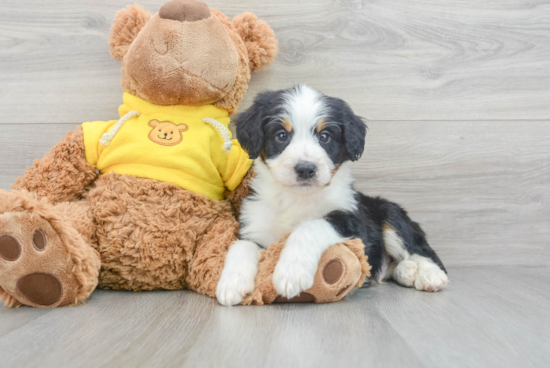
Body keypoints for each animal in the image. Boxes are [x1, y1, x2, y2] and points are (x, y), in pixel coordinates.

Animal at [216, 85, 448, 306]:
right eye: (281, 135)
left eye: (324, 136)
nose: (305, 169)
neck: (296, 198)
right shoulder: (255, 225)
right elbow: (240, 246)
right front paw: (231, 283)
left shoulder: (352, 222)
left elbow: (309, 226)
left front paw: (291, 272)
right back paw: (406, 271)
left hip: (391, 214)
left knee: (422, 250)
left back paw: (430, 275)